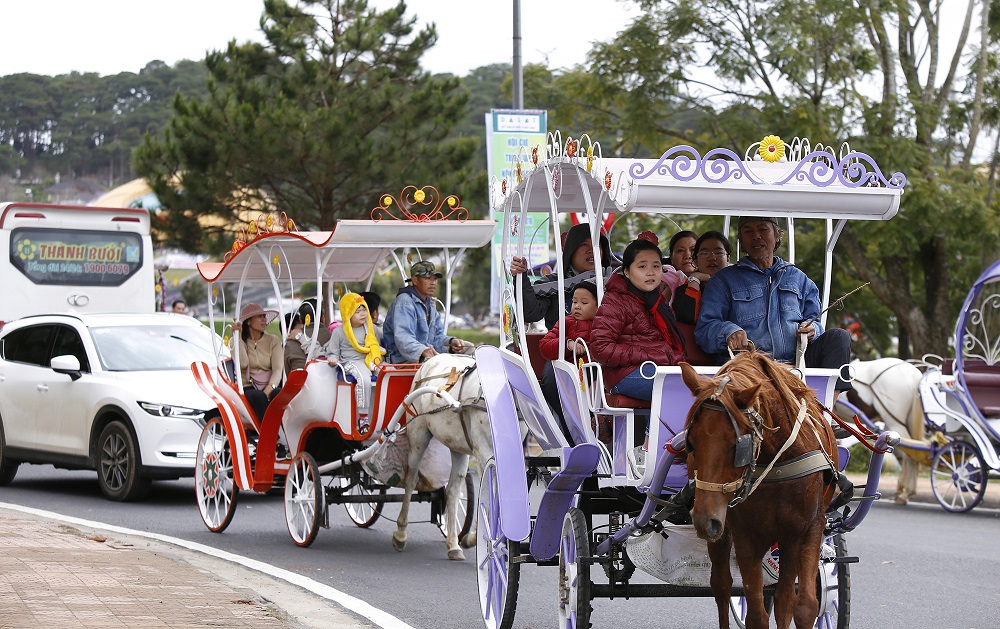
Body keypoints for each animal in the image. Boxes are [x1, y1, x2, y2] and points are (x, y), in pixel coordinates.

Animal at [390, 354, 492, 560]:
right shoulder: (485, 452)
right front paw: (477, 537)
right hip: (418, 434)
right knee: (411, 480)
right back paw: (401, 534)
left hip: (457, 445)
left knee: (453, 490)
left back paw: (453, 544)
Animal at [684, 350, 840, 628]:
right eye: (691, 442)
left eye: (737, 446)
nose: (703, 520)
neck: (777, 462)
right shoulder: (745, 535)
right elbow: (756, 614)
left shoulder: (808, 528)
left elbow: (804, 606)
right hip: (720, 529)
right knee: (721, 587)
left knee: (784, 597)